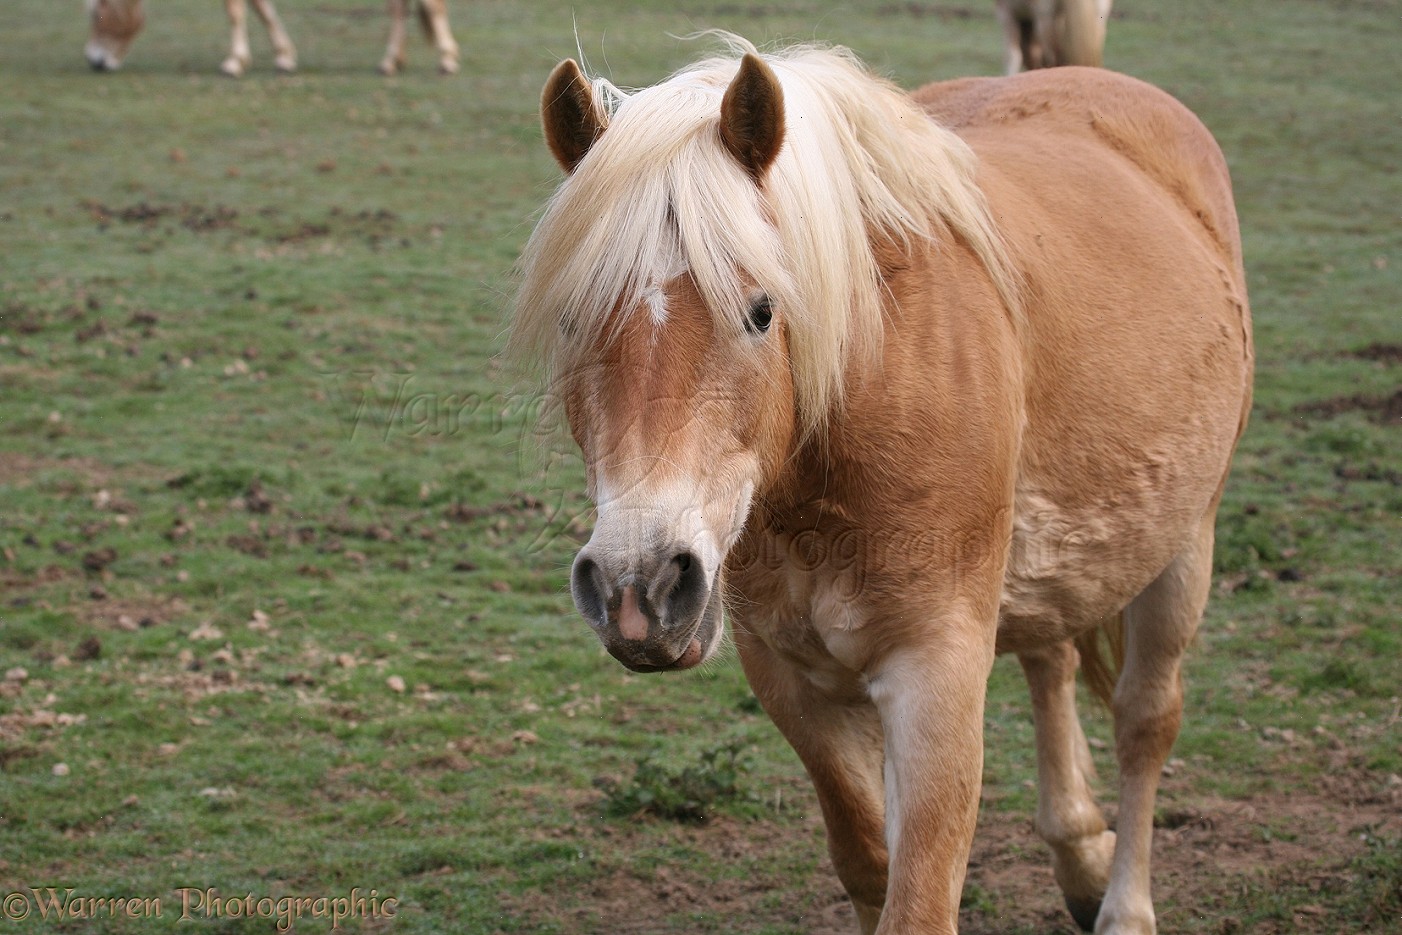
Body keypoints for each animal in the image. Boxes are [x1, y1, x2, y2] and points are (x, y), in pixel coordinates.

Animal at [513, 34, 1250, 935]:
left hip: (1184, 546)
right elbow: (867, 858)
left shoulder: (934, 670)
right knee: (1051, 658)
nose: (638, 587)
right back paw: (1079, 852)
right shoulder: (789, 674)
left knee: (1146, 720)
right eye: (572, 320)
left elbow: (919, 894)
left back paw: (1124, 904)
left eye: (761, 310)